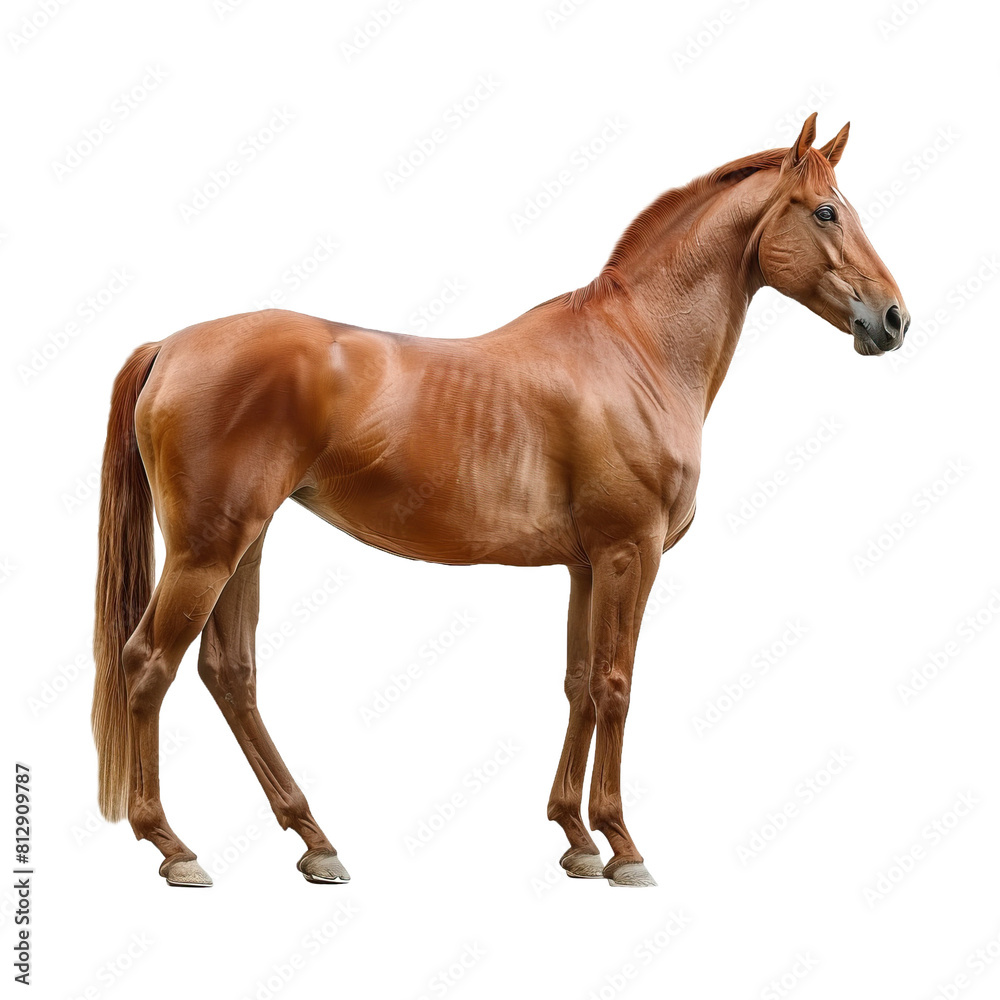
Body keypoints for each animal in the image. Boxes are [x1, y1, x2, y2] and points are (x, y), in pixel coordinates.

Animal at [92, 114, 908, 888]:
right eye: (826, 211)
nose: (894, 319)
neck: (636, 349)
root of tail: (170, 346)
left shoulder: (586, 565)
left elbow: (580, 684)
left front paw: (576, 839)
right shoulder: (629, 552)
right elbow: (616, 685)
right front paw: (623, 846)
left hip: (245, 542)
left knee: (230, 673)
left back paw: (315, 842)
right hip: (207, 550)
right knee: (148, 663)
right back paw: (174, 847)